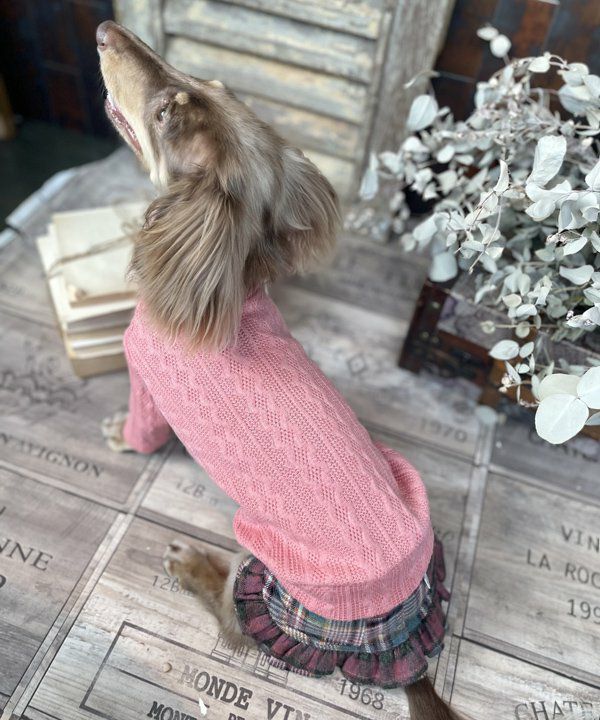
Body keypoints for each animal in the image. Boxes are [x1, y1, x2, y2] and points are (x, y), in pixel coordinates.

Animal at [97, 21, 462, 720]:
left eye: (165, 116)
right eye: (203, 80)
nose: (104, 31)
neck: (234, 287)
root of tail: (405, 643)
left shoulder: (144, 379)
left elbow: (140, 429)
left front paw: (118, 439)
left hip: (262, 565)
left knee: (232, 620)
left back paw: (191, 564)